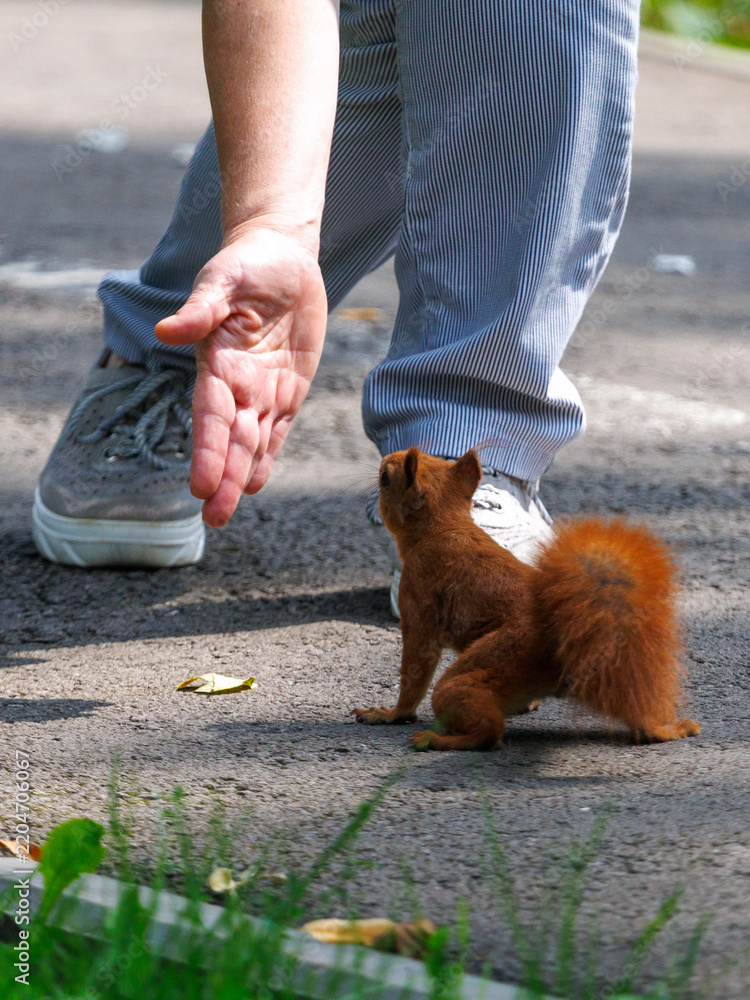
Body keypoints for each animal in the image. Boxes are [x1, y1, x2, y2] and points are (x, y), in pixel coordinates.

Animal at [353, 447, 701, 750]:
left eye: (385, 478)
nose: (386, 458)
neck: (445, 526)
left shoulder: (418, 595)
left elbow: (416, 666)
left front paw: (391, 714)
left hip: (491, 661)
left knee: (490, 733)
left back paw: (438, 740)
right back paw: (666, 729)